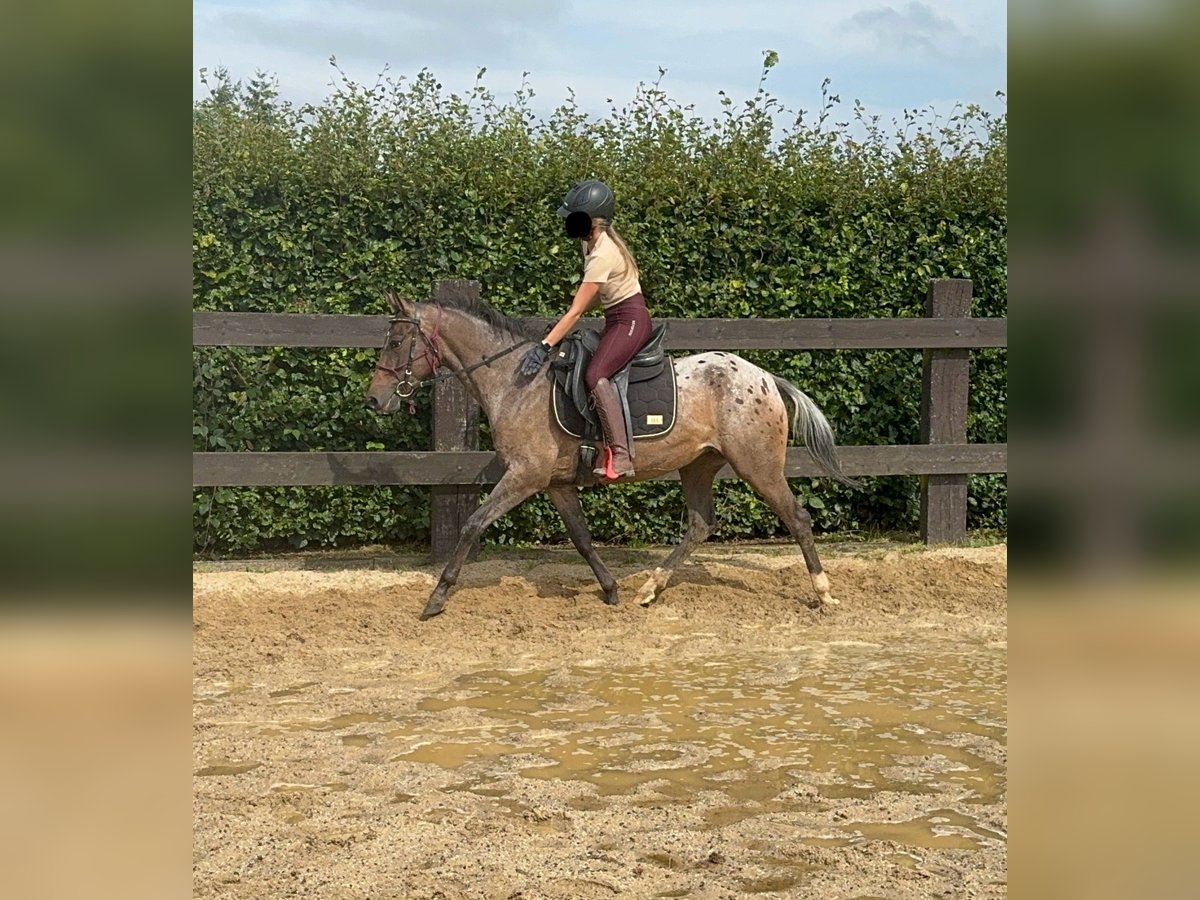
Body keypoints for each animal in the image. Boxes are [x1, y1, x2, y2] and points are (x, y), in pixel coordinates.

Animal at [360, 294, 859, 619]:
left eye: (395, 342)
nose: (374, 400)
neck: (515, 382)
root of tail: (767, 379)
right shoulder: (555, 483)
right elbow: (581, 538)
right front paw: (612, 589)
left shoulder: (525, 475)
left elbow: (474, 522)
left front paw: (437, 599)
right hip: (698, 465)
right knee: (701, 524)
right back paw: (650, 589)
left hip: (757, 466)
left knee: (796, 517)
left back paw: (824, 594)